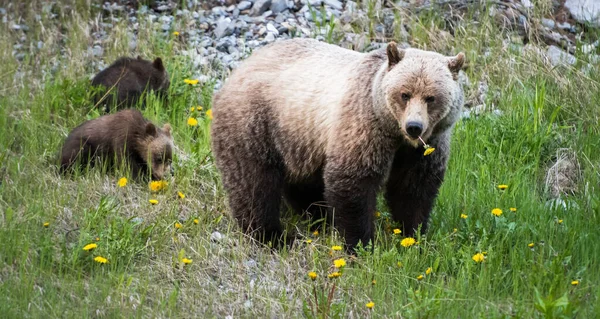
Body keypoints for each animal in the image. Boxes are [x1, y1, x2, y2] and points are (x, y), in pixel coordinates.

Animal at [211, 38, 468, 252]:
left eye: (431, 97)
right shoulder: (364, 127)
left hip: (301, 139)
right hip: (257, 122)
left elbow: (413, 187)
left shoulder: (426, 147)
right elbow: (353, 181)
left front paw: (413, 235)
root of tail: (239, 69)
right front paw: (360, 244)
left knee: (303, 183)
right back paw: (272, 236)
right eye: (404, 94)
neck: (394, 133)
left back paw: (317, 216)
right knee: (253, 182)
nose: (414, 126)